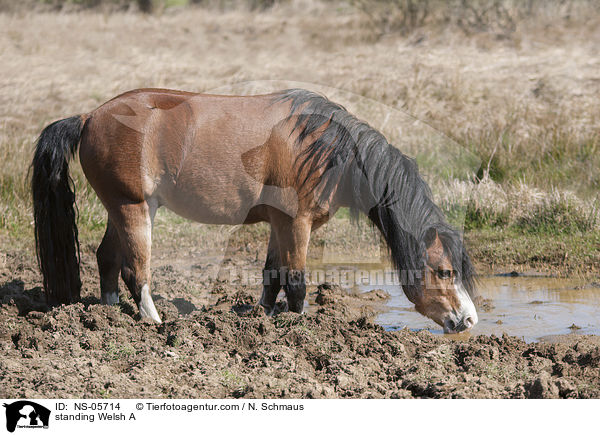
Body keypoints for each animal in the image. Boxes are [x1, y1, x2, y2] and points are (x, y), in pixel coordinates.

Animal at [31, 88, 478, 334]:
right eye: (444, 272)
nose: (469, 320)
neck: (328, 149)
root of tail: (89, 117)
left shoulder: (280, 225)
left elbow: (271, 277)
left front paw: (260, 320)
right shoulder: (297, 224)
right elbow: (296, 283)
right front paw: (298, 327)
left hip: (120, 209)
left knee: (106, 258)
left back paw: (107, 320)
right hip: (134, 209)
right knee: (134, 271)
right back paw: (154, 324)